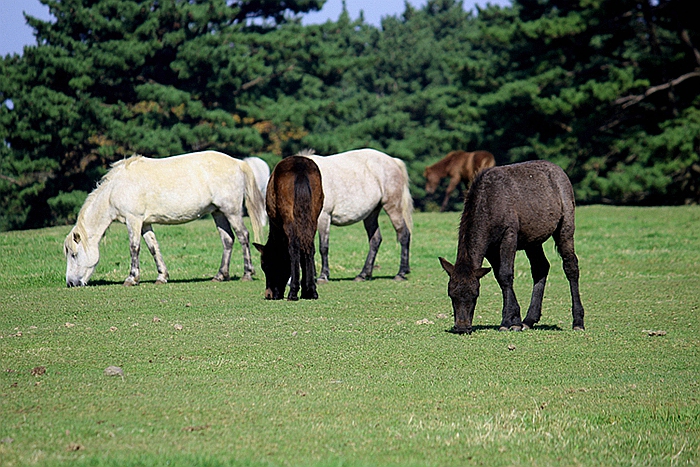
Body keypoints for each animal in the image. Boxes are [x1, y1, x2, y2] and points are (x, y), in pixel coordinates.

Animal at [63, 152, 266, 288]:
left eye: (74, 254)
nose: (71, 283)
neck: (115, 189)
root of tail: (238, 163)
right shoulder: (145, 223)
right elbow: (153, 248)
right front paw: (162, 276)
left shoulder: (133, 220)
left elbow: (134, 248)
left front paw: (131, 278)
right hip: (218, 212)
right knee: (228, 240)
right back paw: (221, 275)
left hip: (231, 211)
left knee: (243, 236)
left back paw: (247, 273)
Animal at [254, 155, 326, 302]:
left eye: (266, 266)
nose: (269, 294)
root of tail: (300, 167)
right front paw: (307, 291)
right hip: (312, 217)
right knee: (309, 247)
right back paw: (312, 291)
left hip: (289, 218)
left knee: (294, 248)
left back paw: (293, 292)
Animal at [300, 149, 410, 282]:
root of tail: (393, 161)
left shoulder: (323, 217)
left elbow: (323, 247)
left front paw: (323, 276)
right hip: (371, 214)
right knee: (375, 240)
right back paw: (363, 274)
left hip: (393, 207)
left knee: (403, 234)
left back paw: (400, 273)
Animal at [438, 162, 584, 336]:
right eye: (451, 294)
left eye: (475, 294)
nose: (461, 327)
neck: (488, 205)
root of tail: (561, 172)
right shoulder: (491, 249)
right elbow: (500, 277)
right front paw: (516, 320)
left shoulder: (509, 235)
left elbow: (506, 275)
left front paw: (507, 322)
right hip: (532, 241)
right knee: (541, 267)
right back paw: (529, 320)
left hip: (565, 226)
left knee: (571, 266)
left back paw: (578, 321)